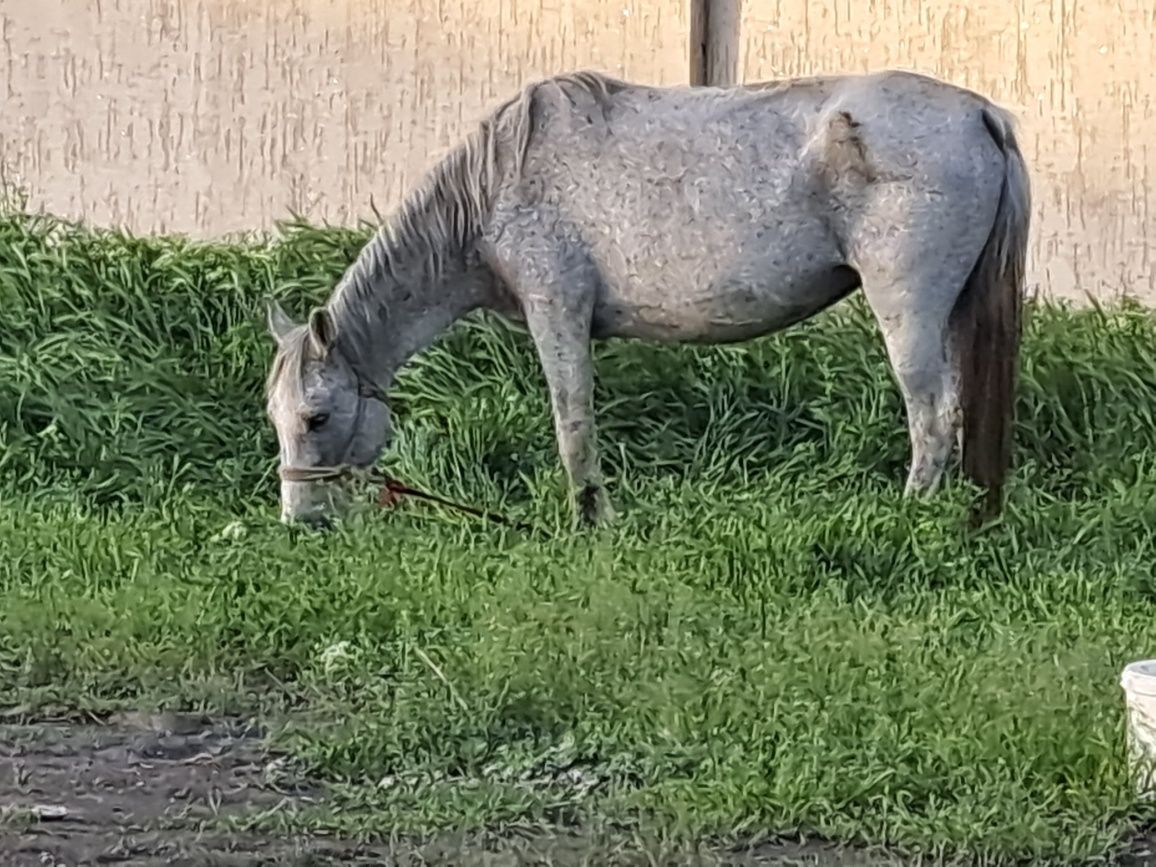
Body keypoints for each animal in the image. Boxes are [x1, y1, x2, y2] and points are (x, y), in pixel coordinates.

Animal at [265, 67, 1035, 529]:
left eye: (317, 416)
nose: (300, 518)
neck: (498, 183)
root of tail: (980, 114)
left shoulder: (557, 310)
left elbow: (572, 420)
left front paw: (591, 519)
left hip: (909, 311)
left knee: (933, 418)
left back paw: (913, 517)